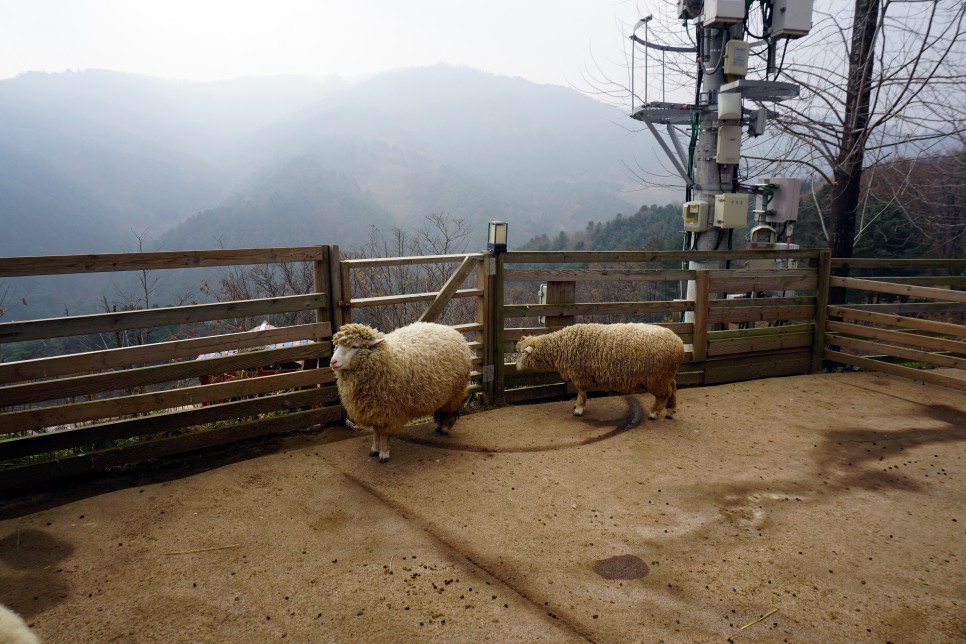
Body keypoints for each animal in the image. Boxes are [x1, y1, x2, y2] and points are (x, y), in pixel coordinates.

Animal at [328, 322, 472, 462]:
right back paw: (439, 426)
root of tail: (453, 331)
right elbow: (375, 432)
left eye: (355, 346)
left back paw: (445, 428)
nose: (333, 362)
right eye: (337, 345)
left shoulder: (388, 411)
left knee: (451, 412)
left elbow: (384, 434)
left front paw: (384, 454)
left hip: (455, 392)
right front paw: (374, 449)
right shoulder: (374, 410)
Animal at [520, 324, 684, 420]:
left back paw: (654, 413)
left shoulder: (581, 374)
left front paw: (578, 408)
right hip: (665, 375)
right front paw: (579, 406)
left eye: (522, 352)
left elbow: (582, 392)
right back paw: (670, 411)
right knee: (673, 387)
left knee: (664, 394)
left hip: (656, 378)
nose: (517, 367)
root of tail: (679, 342)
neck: (561, 345)